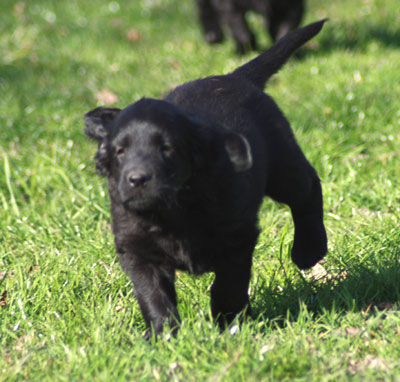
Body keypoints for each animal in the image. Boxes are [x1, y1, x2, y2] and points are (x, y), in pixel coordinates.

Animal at [84, 20, 328, 338]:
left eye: (167, 148)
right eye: (119, 151)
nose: (137, 179)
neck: (173, 208)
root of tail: (233, 76)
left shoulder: (237, 237)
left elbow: (227, 287)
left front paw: (228, 325)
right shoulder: (137, 249)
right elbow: (152, 295)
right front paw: (162, 336)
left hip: (283, 165)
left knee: (308, 188)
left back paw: (309, 249)